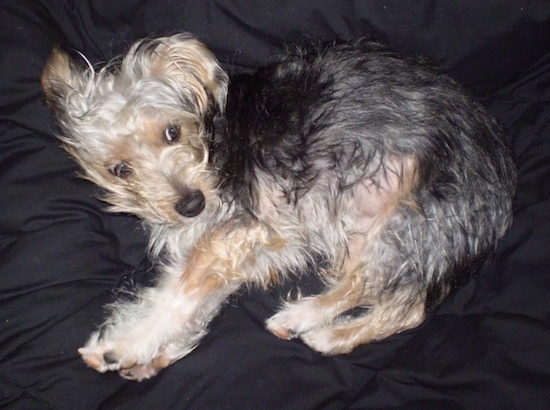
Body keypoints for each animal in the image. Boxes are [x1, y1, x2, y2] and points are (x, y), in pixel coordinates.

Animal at [40, 32, 516, 382]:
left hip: (403, 215)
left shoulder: (242, 229)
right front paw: (158, 351)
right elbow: (201, 296)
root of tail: (501, 191)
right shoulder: (242, 247)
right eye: (119, 170)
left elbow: (179, 292)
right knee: (386, 297)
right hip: (367, 224)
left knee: (395, 302)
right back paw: (316, 326)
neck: (211, 143)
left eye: (172, 132)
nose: (192, 204)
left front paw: (124, 345)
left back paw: (312, 324)